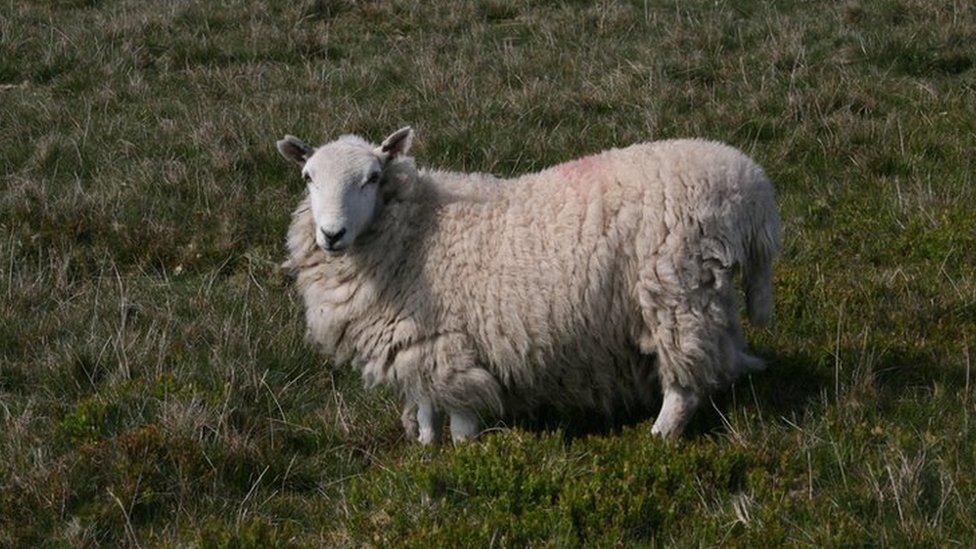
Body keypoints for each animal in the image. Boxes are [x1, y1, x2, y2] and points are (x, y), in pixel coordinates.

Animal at [278, 126, 780, 444]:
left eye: (373, 177)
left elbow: (459, 415)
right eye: (307, 178)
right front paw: (425, 447)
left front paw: (463, 455)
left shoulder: (448, 343)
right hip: (704, 294)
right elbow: (424, 404)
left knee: (684, 385)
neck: (414, 231)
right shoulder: (416, 344)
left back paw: (659, 439)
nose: (331, 234)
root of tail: (751, 186)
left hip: (675, 294)